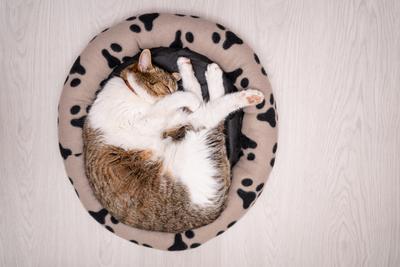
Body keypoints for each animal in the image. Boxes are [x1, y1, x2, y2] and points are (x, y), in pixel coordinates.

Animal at [83, 49, 264, 232]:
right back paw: (244, 93)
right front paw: (187, 97)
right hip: (196, 140)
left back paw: (194, 67)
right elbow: (180, 100)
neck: (129, 90)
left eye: (172, 88)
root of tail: (217, 208)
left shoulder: (172, 121)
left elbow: (190, 97)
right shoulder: (147, 122)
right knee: (212, 111)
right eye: (166, 87)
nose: (173, 91)